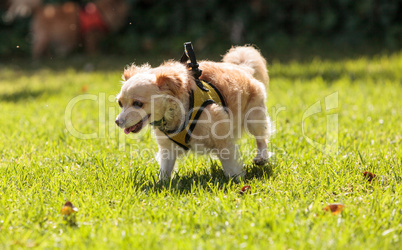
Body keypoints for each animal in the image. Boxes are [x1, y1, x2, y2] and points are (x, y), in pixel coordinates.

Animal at [116, 46, 274, 180]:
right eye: (120, 104)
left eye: (138, 104)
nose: (117, 122)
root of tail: (243, 69)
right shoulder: (167, 148)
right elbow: (165, 170)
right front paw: (162, 185)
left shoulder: (223, 140)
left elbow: (231, 166)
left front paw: (236, 182)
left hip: (254, 118)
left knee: (261, 138)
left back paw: (261, 157)